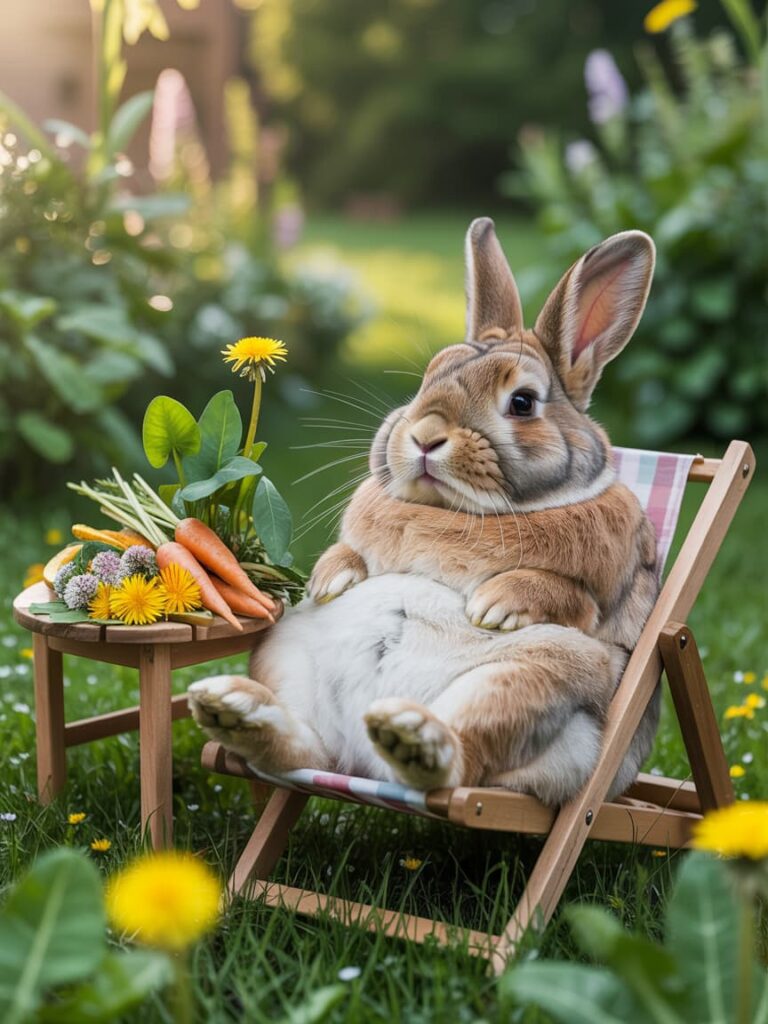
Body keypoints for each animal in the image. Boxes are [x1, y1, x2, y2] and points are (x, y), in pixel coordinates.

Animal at [188, 219, 660, 807]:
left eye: (523, 402)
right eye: (428, 378)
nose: (424, 436)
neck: (456, 510)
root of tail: (363, 759)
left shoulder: (609, 589)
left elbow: (571, 595)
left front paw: (494, 605)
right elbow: (351, 556)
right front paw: (330, 580)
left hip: (536, 674)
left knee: (458, 764)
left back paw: (412, 736)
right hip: (286, 651)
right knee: (309, 753)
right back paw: (234, 710)